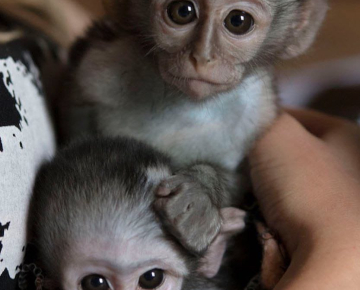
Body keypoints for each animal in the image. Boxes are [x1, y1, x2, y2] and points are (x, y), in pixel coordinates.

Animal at [59, 1, 330, 256]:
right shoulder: (99, 67)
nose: (201, 57)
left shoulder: (260, 109)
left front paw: (200, 192)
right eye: (182, 11)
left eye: (238, 21)